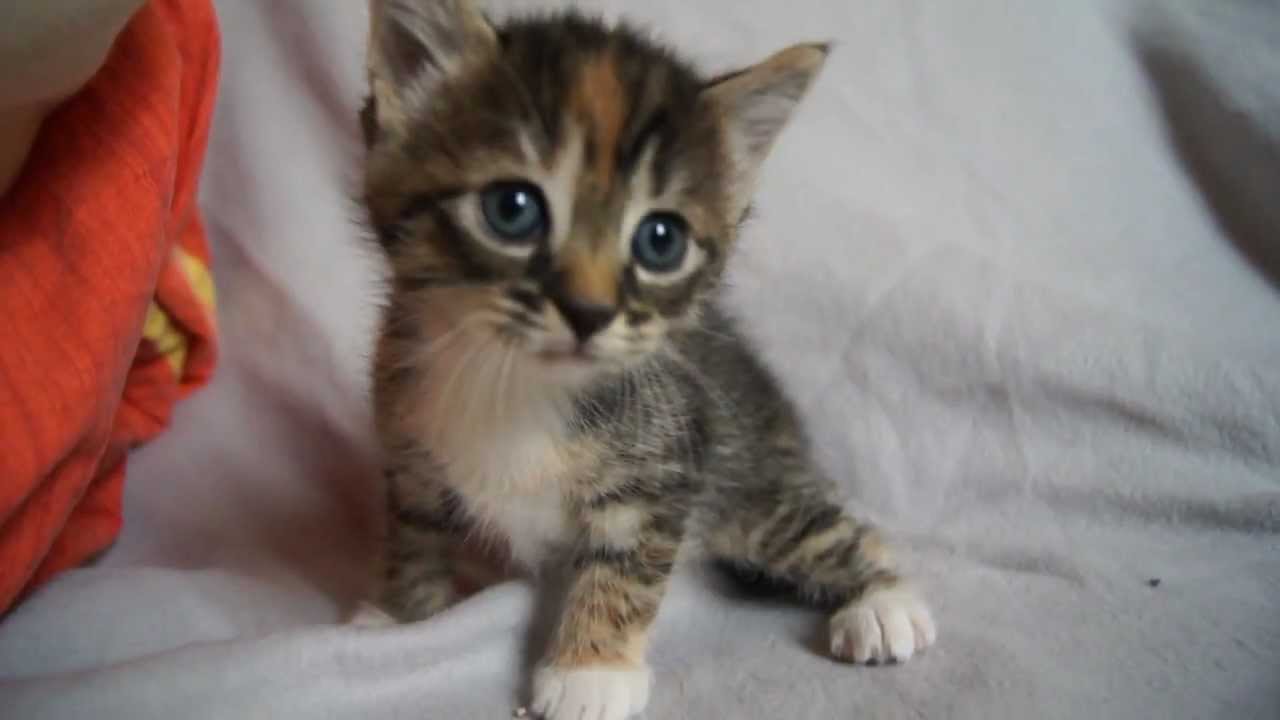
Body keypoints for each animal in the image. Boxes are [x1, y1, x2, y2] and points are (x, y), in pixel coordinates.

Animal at [360, 2, 942, 712]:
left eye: (660, 241)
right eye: (511, 209)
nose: (589, 311)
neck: (516, 384)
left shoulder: (667, 465)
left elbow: (626, 559)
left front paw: (590, 671)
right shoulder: (408, 450)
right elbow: (414, 530)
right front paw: (404, 616)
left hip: (751, 492)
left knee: (829, 528)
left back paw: (885, 601)